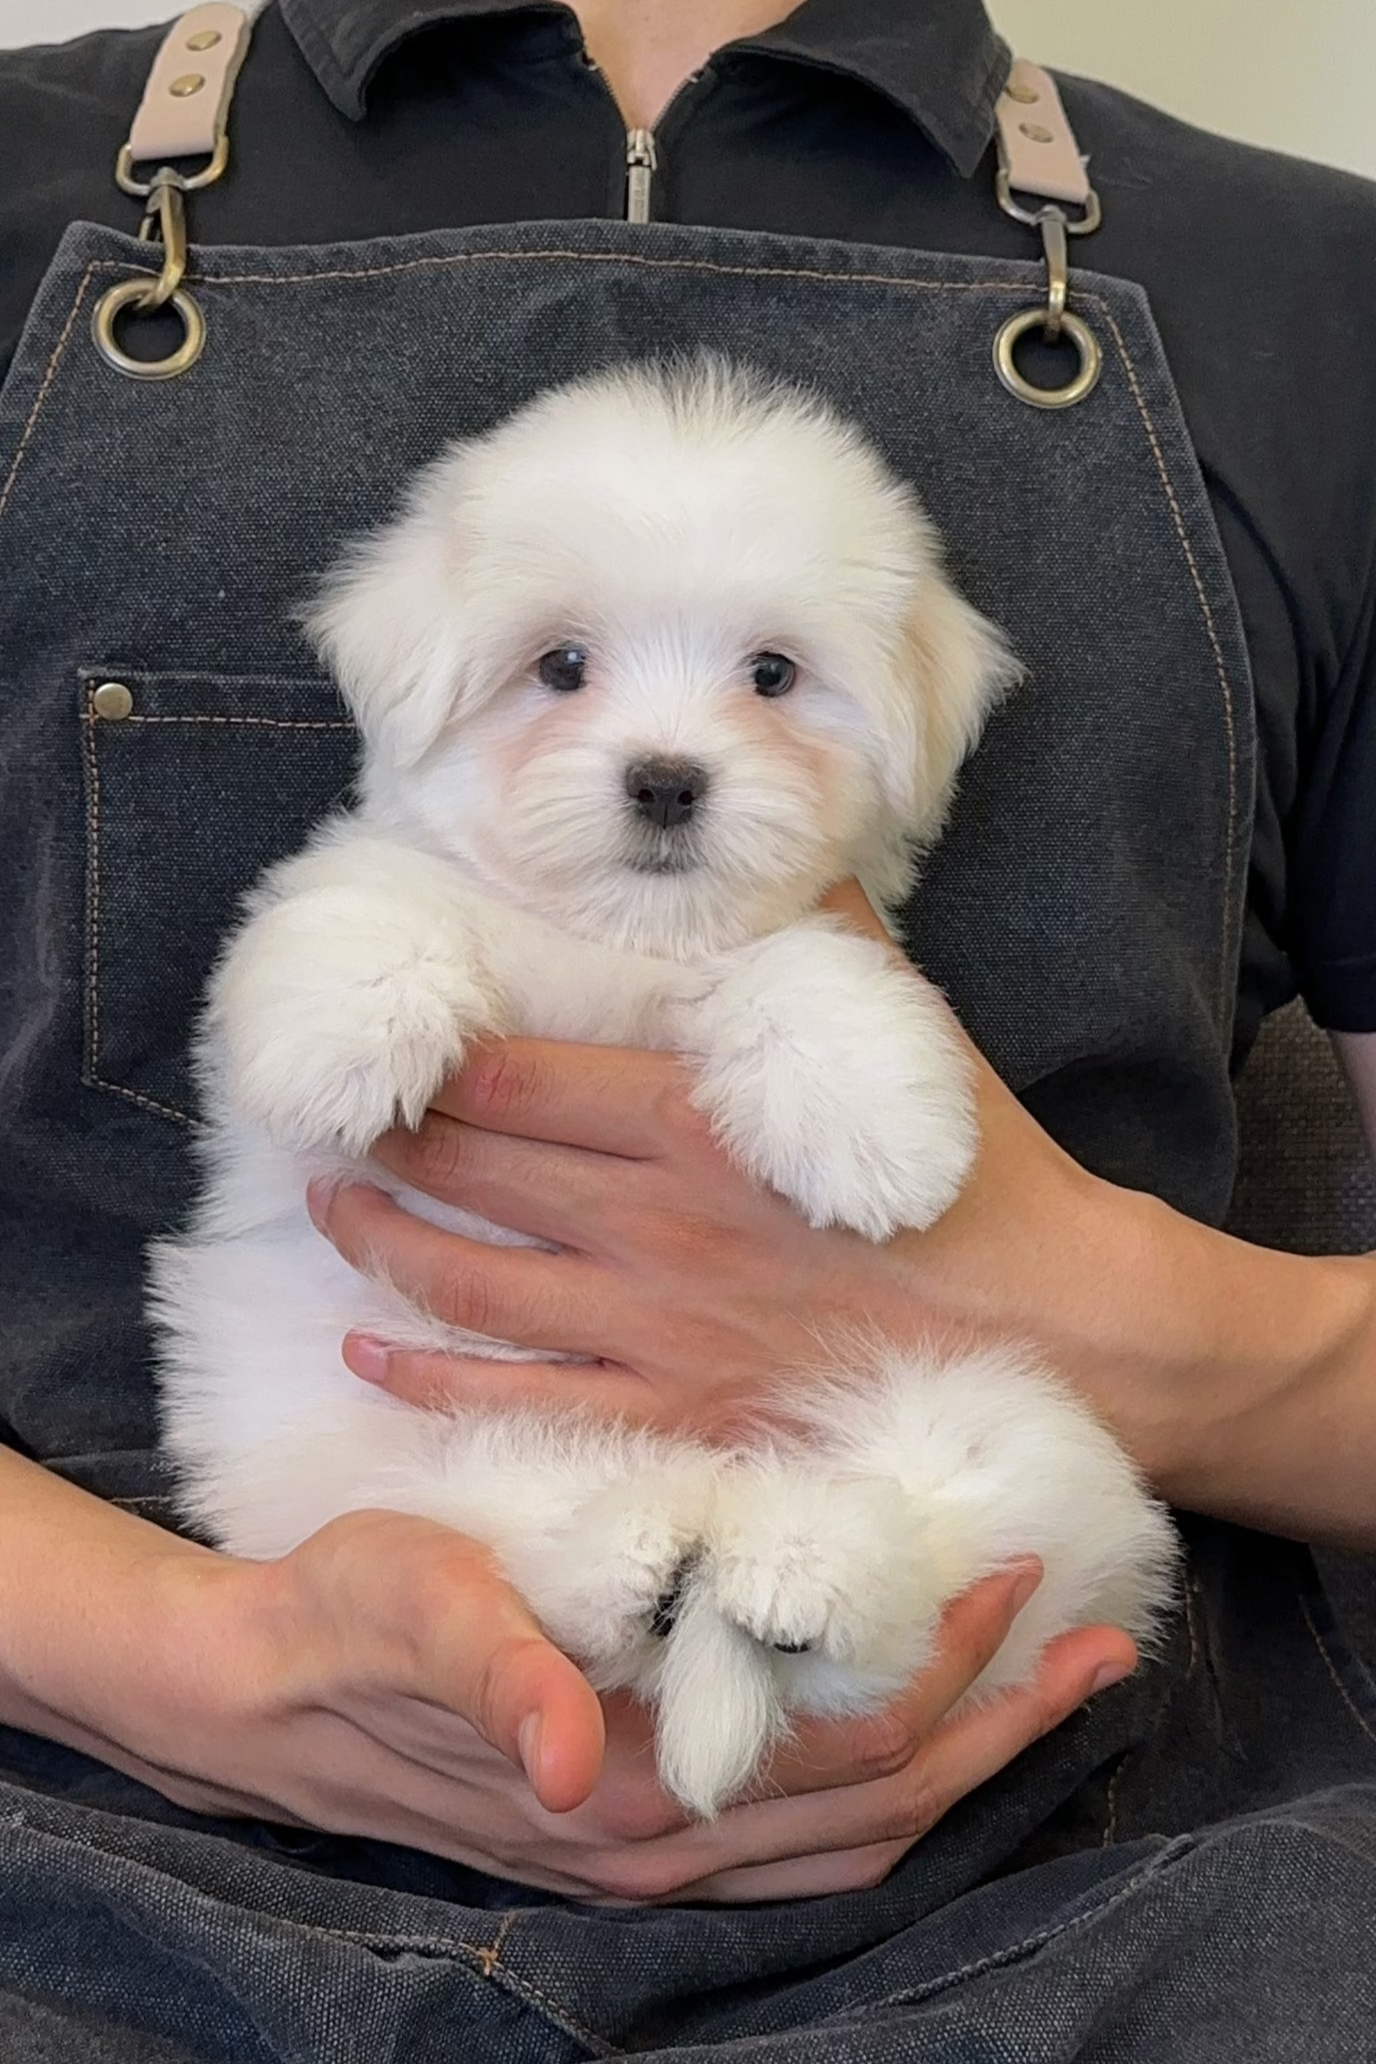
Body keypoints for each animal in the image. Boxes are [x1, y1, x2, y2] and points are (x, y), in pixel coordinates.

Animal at [153, 363, 1188, 1816]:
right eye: (560, 667)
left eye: (771, 675)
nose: (665, 779)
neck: (619, 941)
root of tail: (715, 1493)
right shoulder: (359, 895)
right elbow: (366, 902)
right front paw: (350, 1030)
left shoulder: (799, 927)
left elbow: (800, 967)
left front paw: (873, 1121)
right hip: (358, 1447)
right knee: (506, 1531)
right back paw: (630, 1562)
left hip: (1019, 1414)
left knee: (936, 1542)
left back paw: (795, 1574)